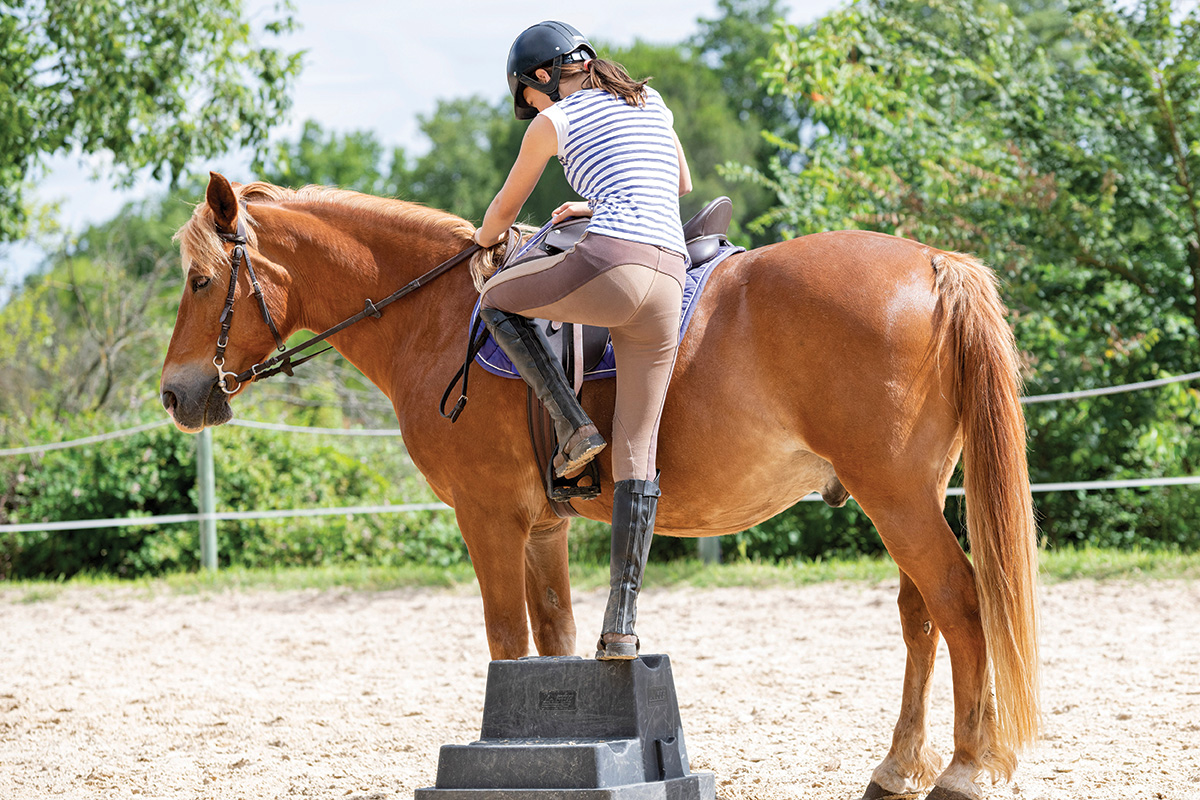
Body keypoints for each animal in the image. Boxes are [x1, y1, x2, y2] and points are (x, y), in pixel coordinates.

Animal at [162, 175, 1041, 800]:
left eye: (202, 281)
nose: (175, 394)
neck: (439, 311)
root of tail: (932, 262)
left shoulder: (489, 520)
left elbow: (506, 643)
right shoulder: (542, 529)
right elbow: (552, 639)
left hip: (895, 497)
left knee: (961, 605)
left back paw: (964, 770)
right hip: (905, 498)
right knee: (921, 618)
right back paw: (898, 769)